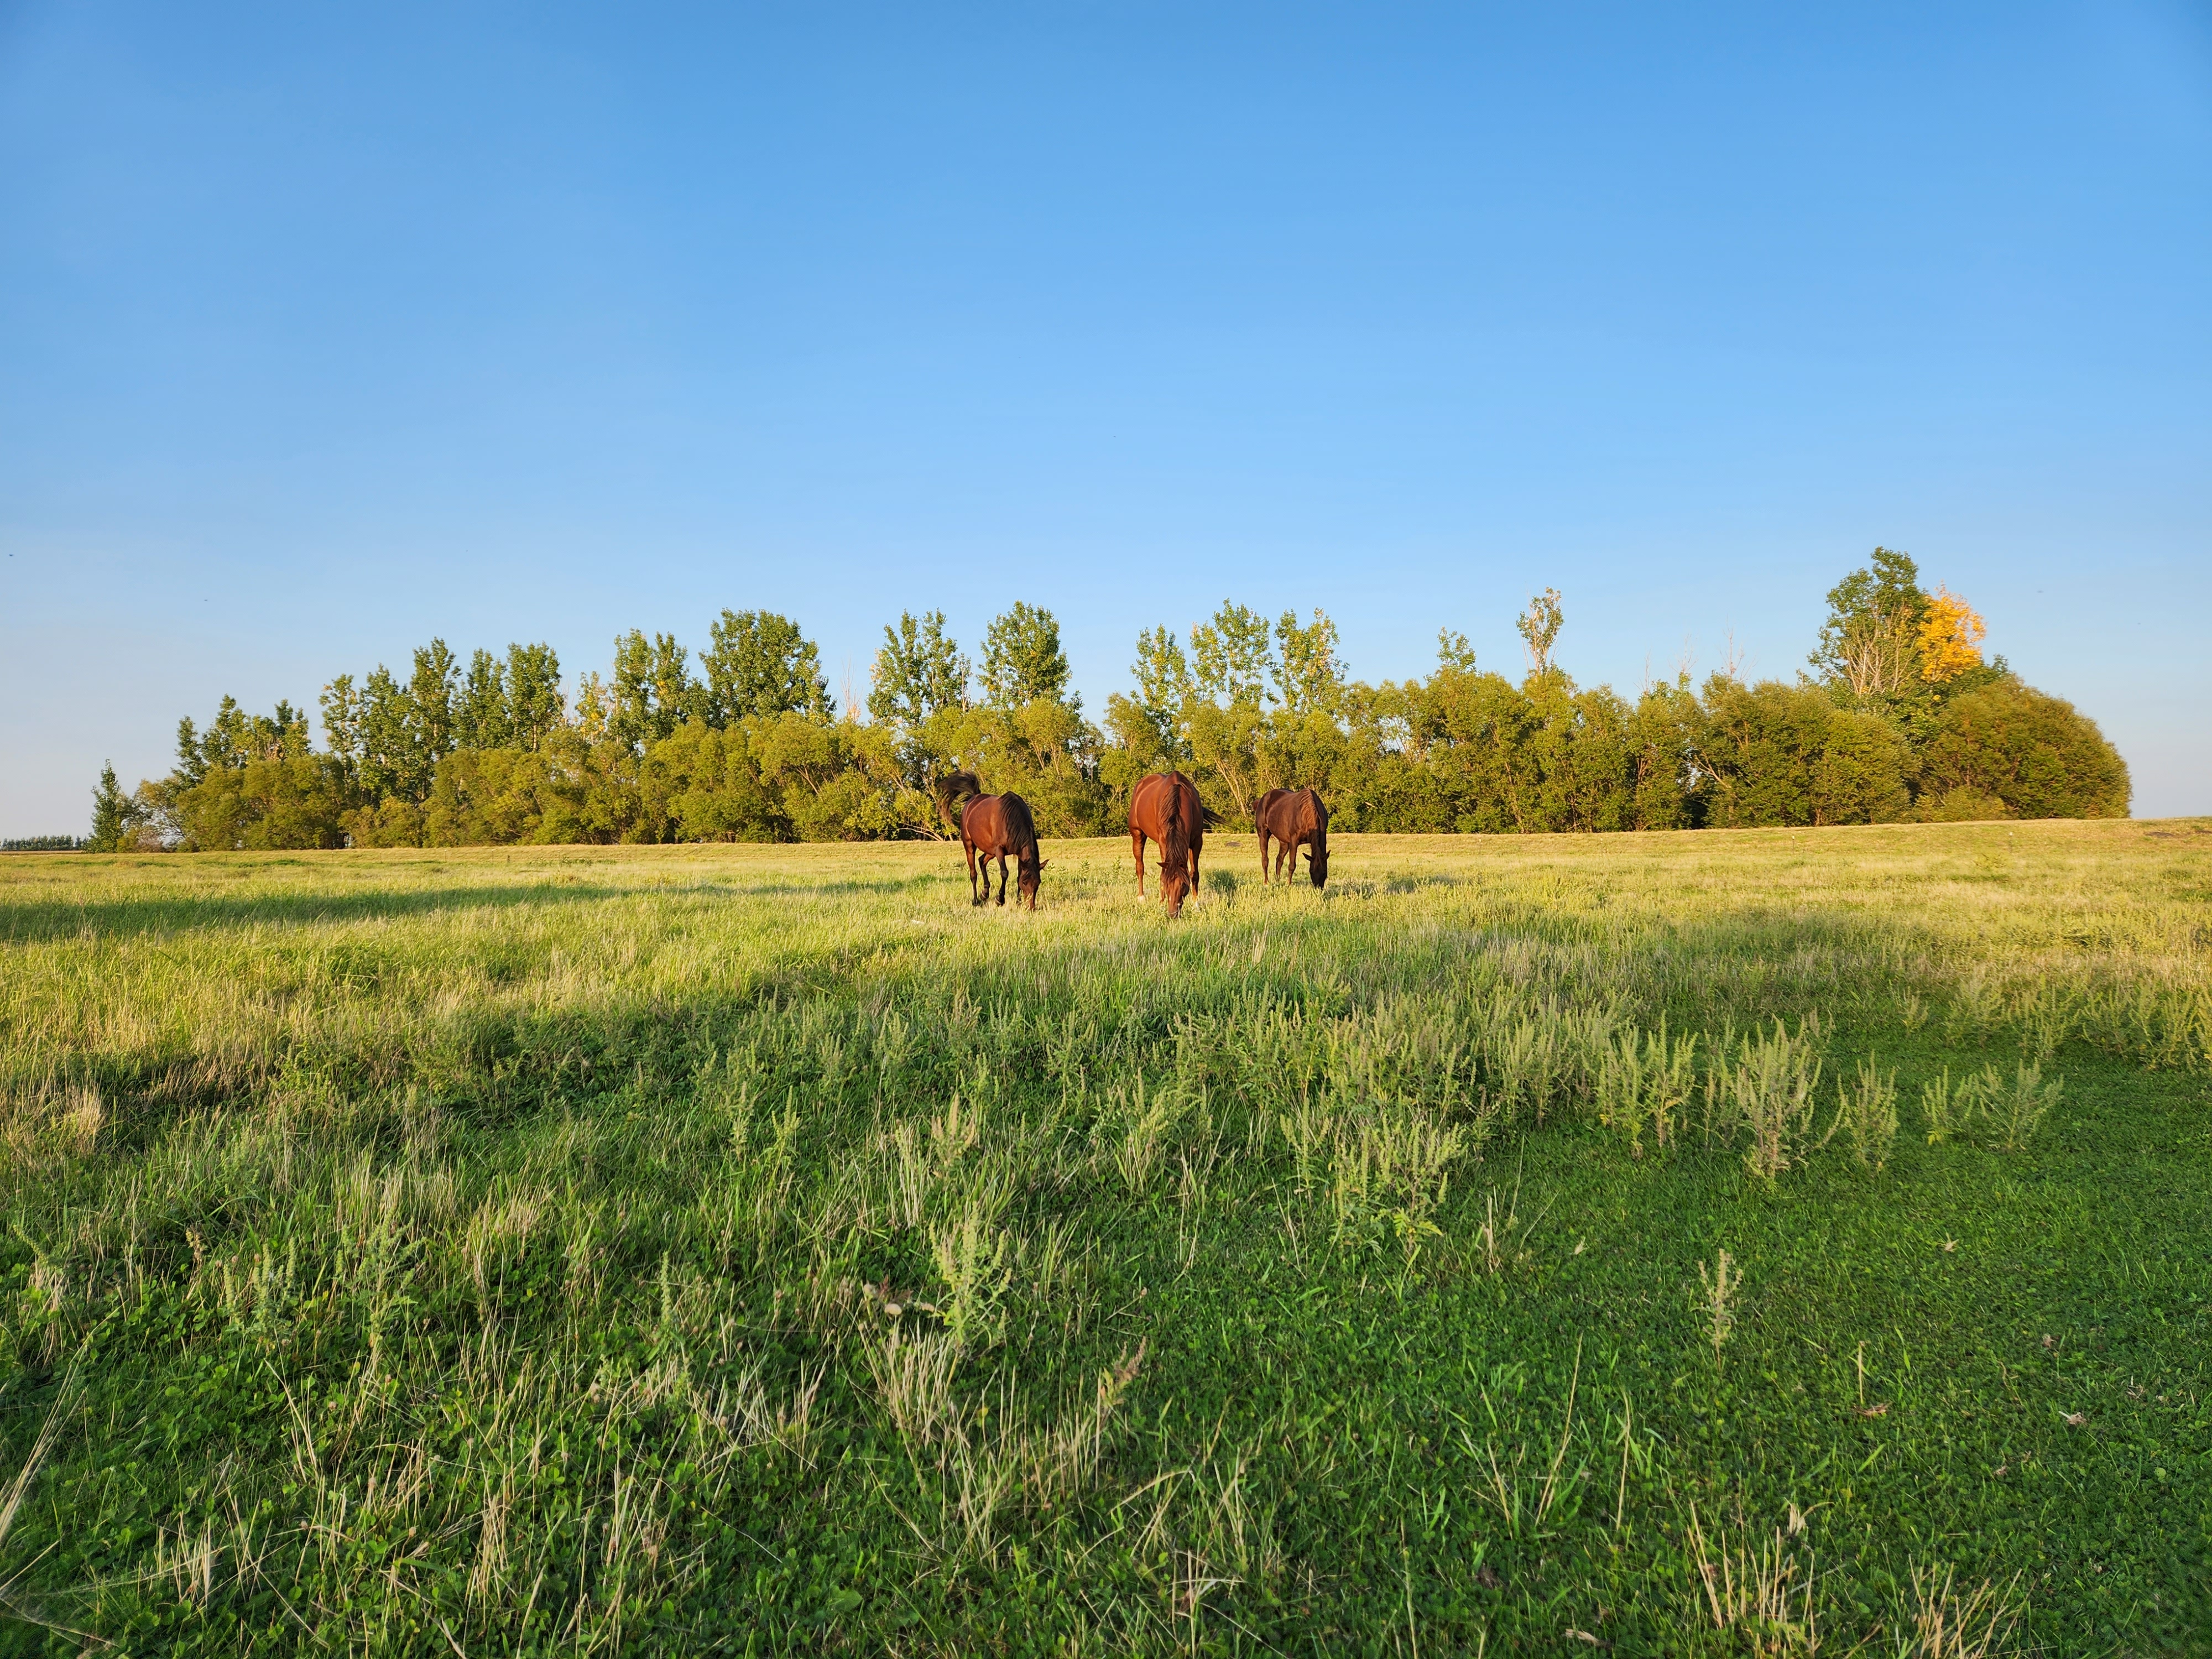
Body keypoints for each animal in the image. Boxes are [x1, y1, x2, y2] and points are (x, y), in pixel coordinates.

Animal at [937, 772, 1047, 910]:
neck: (1011, 820)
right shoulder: (1000, 850)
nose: (1031, 907)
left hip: (990, 851)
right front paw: (1000, 899)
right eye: (1025, 882)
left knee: (982, 861)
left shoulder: (1018, 854)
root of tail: (974, 799)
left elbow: (1018, 874)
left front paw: (1018, 902)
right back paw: (976, 900)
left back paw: (985, 893)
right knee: (973, 873)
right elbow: (1005, 873)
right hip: (970, 846)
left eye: (1038, 882)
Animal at [1129, 770, 1218, 917]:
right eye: (1166, 884)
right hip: (1137, 834)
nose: (1172, 913)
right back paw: (1141, 898)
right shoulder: (1163, 841)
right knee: (1140, 866)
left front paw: (1196, 906)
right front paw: (1160, 904)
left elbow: (1194, 874)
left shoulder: (1197, 841)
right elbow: (1162, 873)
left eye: (1183, 884)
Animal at [1255, 786, 1330, 889]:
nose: (1318, 888)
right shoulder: (1294, 841)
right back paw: (1266, 882)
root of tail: (1263, 798)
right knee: (1265, 859)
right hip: (1263, 834)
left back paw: (1278, 880)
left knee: (1279, 859)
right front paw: (1289, 884)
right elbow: (1292, 865)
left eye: (1324, 872)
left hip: (1284, 841)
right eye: (1311, 871)